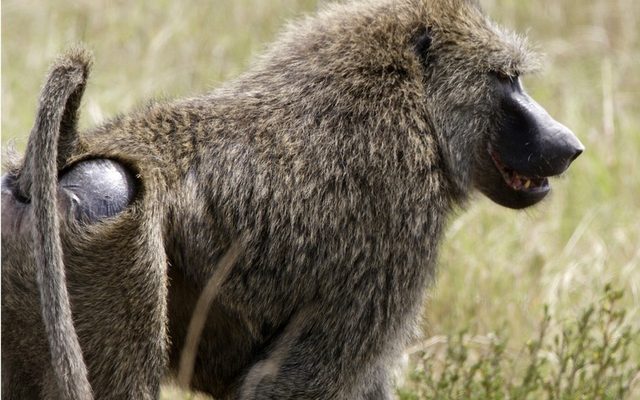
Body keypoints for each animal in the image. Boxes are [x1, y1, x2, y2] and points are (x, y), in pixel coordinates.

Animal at [1, 0, 584, 399]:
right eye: (507, 79)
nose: (570, 144)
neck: (416, 102)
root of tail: (59, 156)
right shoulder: (395, 224)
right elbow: (292, 384)